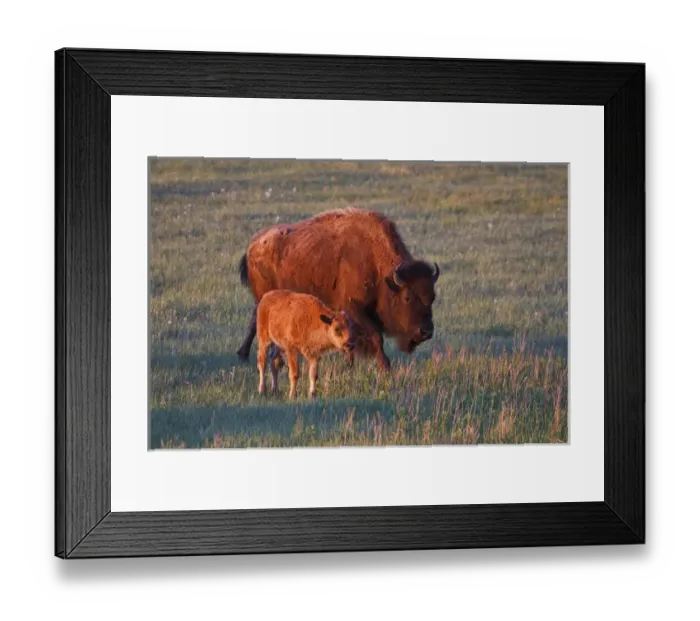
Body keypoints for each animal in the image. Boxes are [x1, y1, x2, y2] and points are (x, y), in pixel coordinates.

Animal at [236, 207, 439, 372]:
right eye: (407, 297)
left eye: (432, 297)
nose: (427, 332)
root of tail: (253, 245)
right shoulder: (353, 307)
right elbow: (376, 336)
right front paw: (385, 367)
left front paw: (349, 364)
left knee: (254, 321)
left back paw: (247, 355)